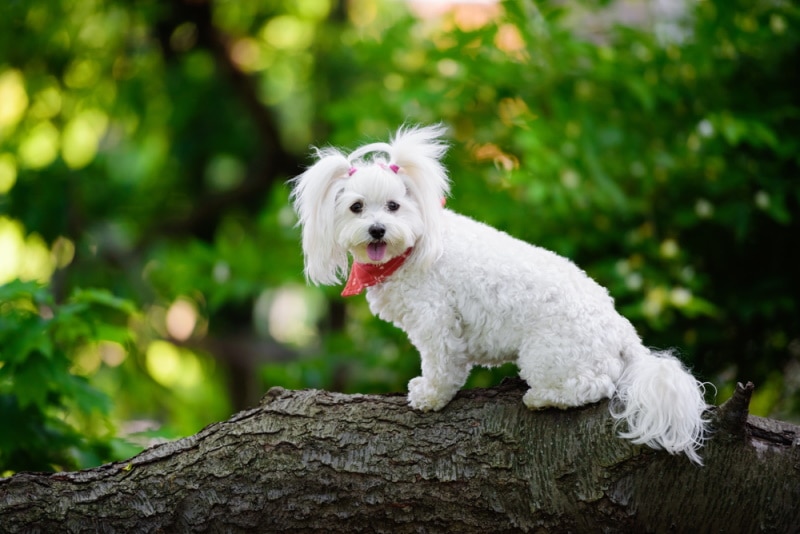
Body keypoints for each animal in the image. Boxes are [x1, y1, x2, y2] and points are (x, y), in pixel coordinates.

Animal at [290, 124, 708, 464]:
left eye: (394, 206)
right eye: (356, 207)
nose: (377, 229)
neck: (414, 247)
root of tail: (622, 329)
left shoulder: (436, 320)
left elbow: (441, 366)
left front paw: (430, 396)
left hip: (547, 355)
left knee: (593, 386)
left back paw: (541, 398)